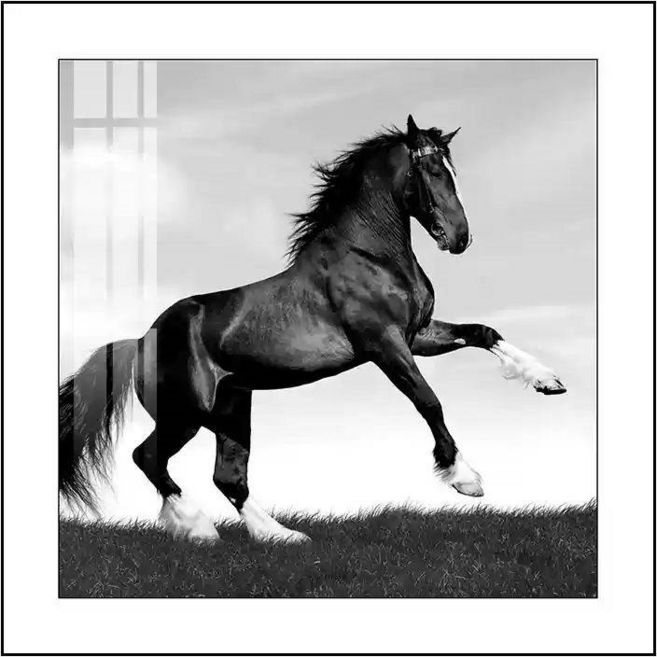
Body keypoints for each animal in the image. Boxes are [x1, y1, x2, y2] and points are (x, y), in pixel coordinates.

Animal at [59, 115, 566, 543]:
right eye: (430, 171)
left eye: (451, 169)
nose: (460, 239)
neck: (370, 255)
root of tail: (140, 341)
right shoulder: (385, 343)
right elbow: (428, 401)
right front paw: (466, 480)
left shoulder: (418, 335)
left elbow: (483, 332)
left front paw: (549, 382)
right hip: (184, 413)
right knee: (148, 459)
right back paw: (199, 528)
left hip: (231, 410)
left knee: (229, 476)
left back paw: (282, 536)